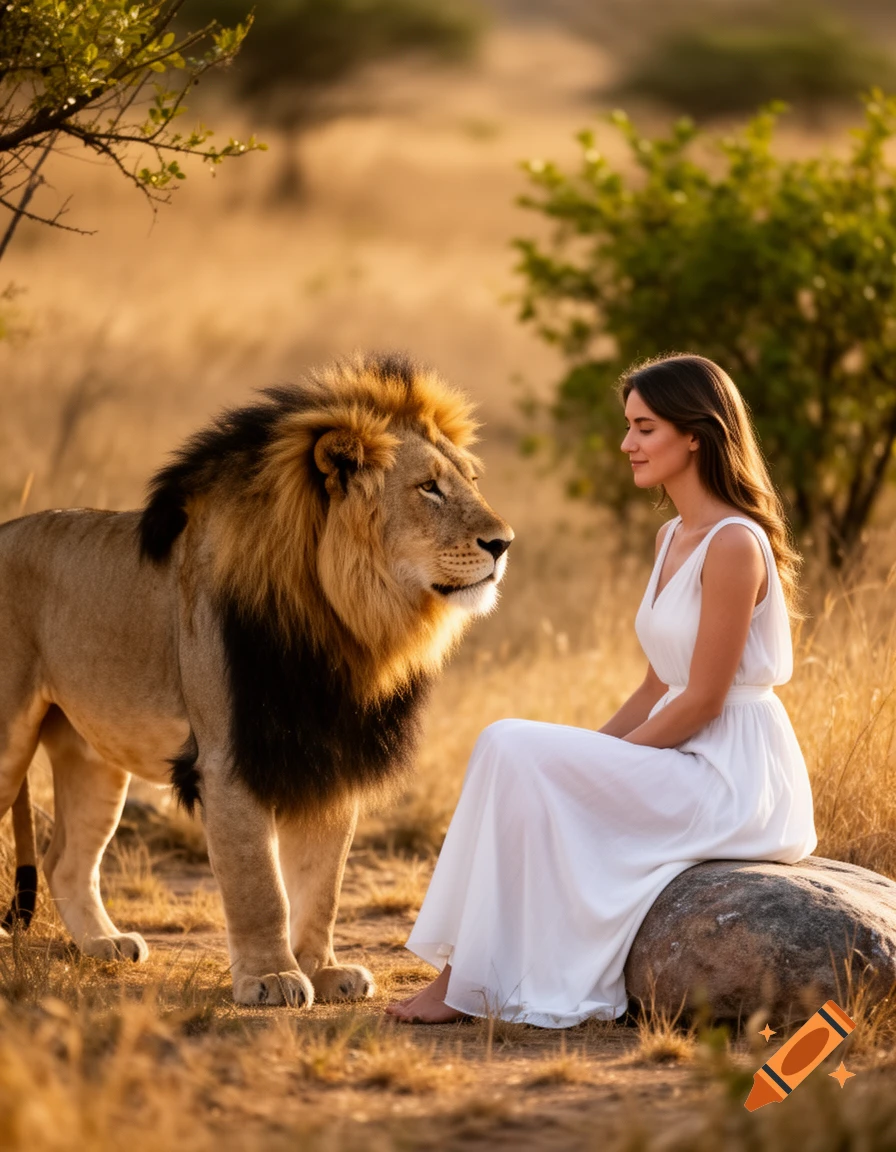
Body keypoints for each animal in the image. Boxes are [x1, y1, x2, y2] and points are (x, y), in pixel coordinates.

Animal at [0, 352, 513, 1006]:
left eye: (470, 480)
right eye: (429, 487)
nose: (504, 543)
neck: (339, 622)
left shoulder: (328, 755)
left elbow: (321, 885)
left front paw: (323, 969)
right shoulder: (229, 759)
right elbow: (259, 883)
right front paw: (272, 977)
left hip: (93, 756)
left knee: (65, 858)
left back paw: (104, 944)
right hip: (9, 741)